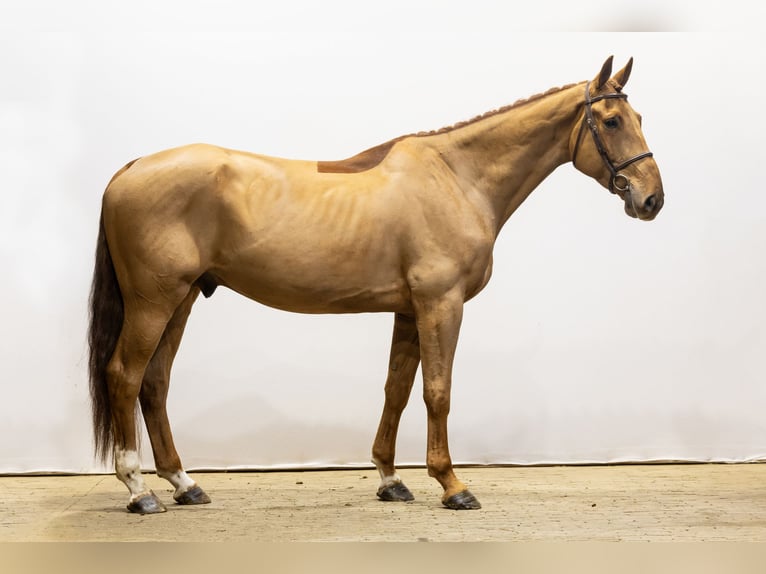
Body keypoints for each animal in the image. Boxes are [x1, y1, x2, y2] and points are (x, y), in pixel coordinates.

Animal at [88, 56, 664, 516]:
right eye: (612, 121)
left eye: (638, 118)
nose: (651, 199)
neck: (458, 177)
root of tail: (130, 169)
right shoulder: (440, 305)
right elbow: (437, 392)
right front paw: (452, 485)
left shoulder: (408, 310)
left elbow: (397, 389)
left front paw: (391, 480)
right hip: (154, 302)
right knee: (125, 375)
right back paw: (140, 491)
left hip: (182, 299)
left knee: (155, 382)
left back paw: (185, 484)